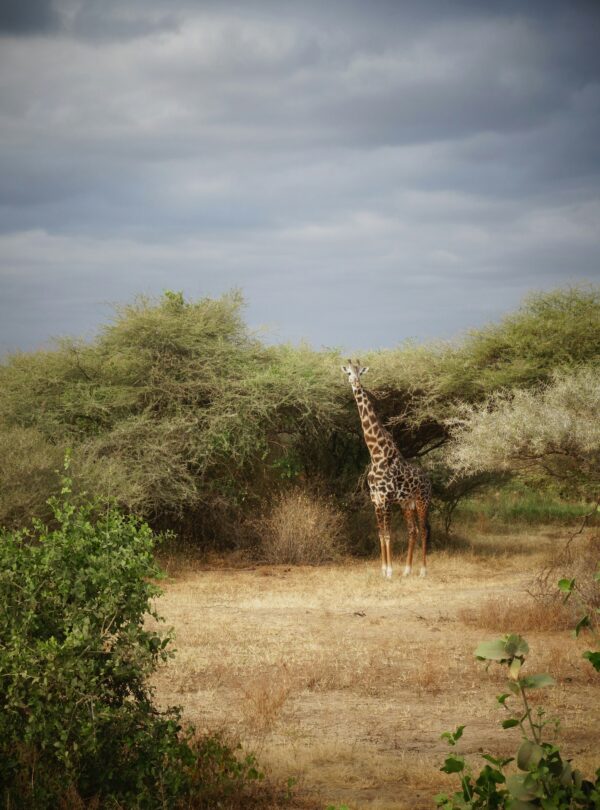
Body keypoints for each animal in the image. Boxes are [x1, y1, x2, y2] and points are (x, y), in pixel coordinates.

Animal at [341, 360, 432, 578]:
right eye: (348, 372)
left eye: (360, 372)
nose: (355, 383)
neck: (376, 454)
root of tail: (429, 480)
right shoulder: (376, 500)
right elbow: (381, 534)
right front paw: (383, 569)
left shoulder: (387, 499)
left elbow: (389, 534)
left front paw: (389, 571)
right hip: (407, 504)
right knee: (413, 530)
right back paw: (407, 570)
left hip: (422, 501)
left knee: (424, 530)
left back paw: (423, 571)